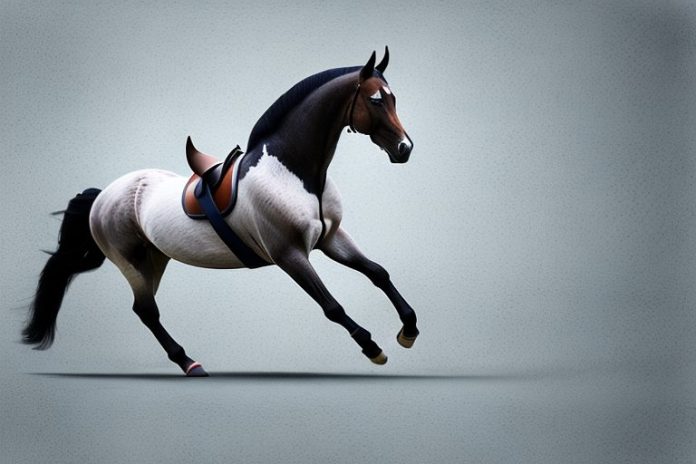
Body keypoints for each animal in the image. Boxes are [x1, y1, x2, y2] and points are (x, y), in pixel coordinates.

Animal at [22, 48, 419, 376]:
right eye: (375, 100)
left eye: (394, 98)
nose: (404, 149)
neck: (298, 174)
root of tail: (103, 195)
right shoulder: (289, 254)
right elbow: (332, 306)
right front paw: (373, 348)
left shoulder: (331, 238)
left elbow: (377, 273)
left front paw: (409, 329)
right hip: (129, 262)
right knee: (147, 311)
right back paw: (190, 363)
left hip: (155, 258)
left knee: (143, 309)